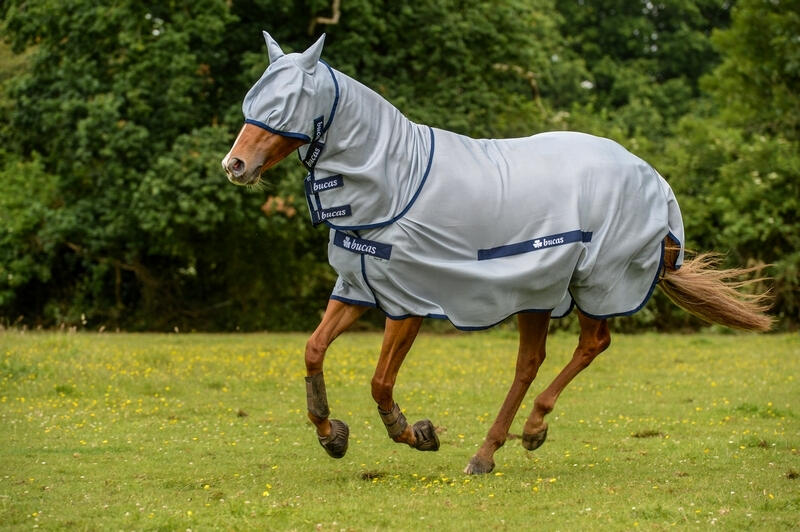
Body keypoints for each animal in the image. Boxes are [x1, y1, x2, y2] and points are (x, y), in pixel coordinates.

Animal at [222, 33, 772, 475]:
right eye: (254, 96)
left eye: (289, 101)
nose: (235, 164)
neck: (398, 183)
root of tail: (653, 177)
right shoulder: (358, 287)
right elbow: (313, 349)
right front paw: (331, 435)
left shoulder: (408, 302)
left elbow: (380, 381)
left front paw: (416, 434)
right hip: (539, 291)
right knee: (535, 360)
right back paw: (503, 444)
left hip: (593, 282)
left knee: (588, 345)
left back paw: (515, 438)